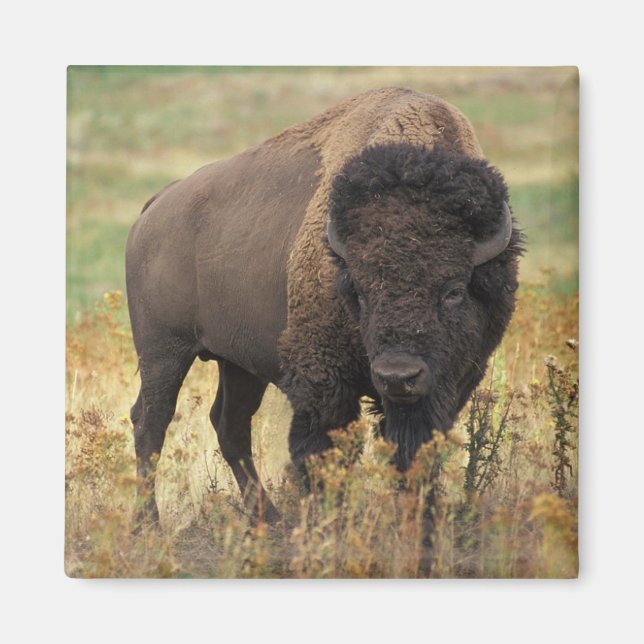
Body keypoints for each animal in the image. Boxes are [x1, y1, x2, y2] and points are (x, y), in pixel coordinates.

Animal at [126, 87, 522, 526]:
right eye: (360, 292)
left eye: (453, 290)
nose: (397, 376)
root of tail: (156, 206)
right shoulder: (323, 381)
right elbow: (323, 454)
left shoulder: (451, 384)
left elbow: (415, 453)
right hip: (163, 351)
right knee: (151, 421)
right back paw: (149, 523)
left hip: (239, 362)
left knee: (229, 425)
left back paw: (269, 520)